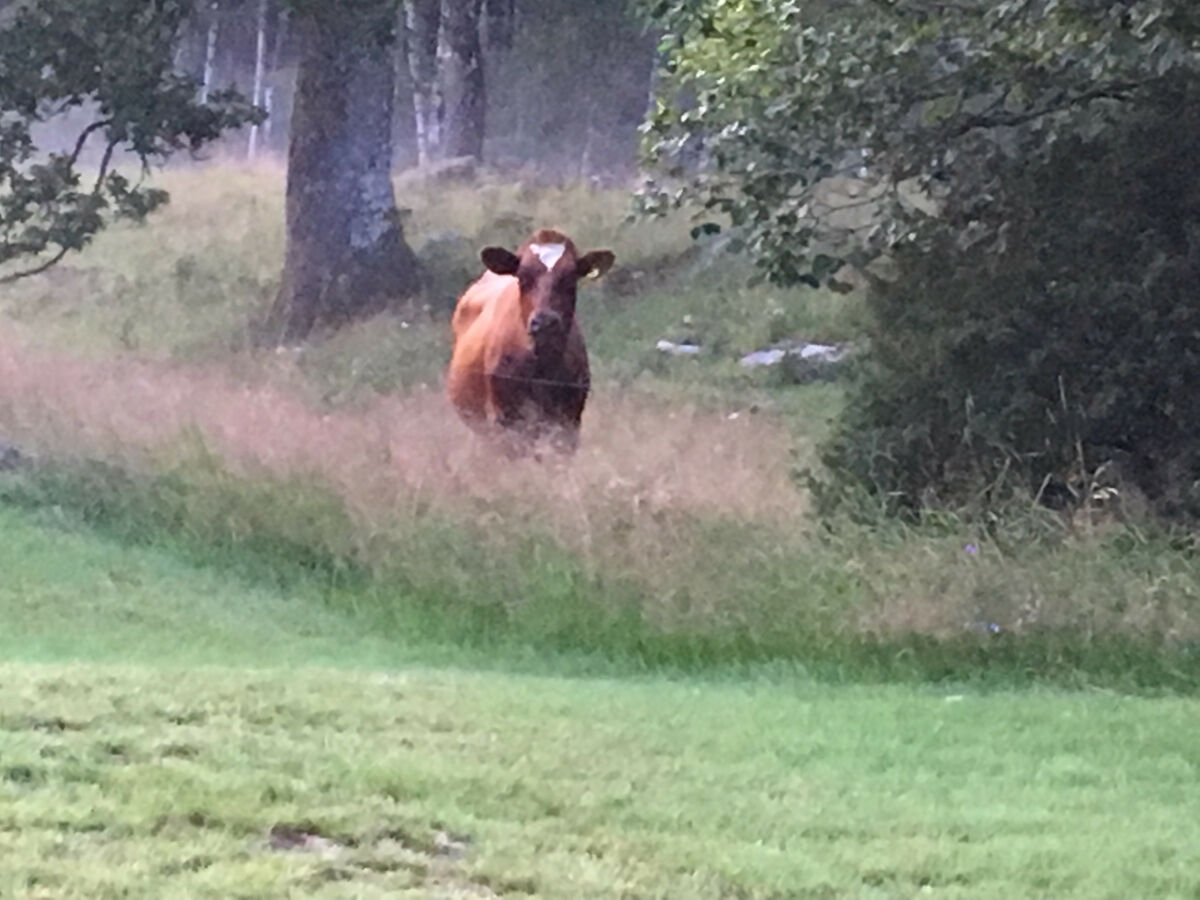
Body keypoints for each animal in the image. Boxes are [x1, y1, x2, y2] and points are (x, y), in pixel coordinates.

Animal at [446, 229, 614, 453]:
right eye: (523, 277)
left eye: (571, 279)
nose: (545, 321)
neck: (542, 368)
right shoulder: (504, 419)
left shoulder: (569, 421)